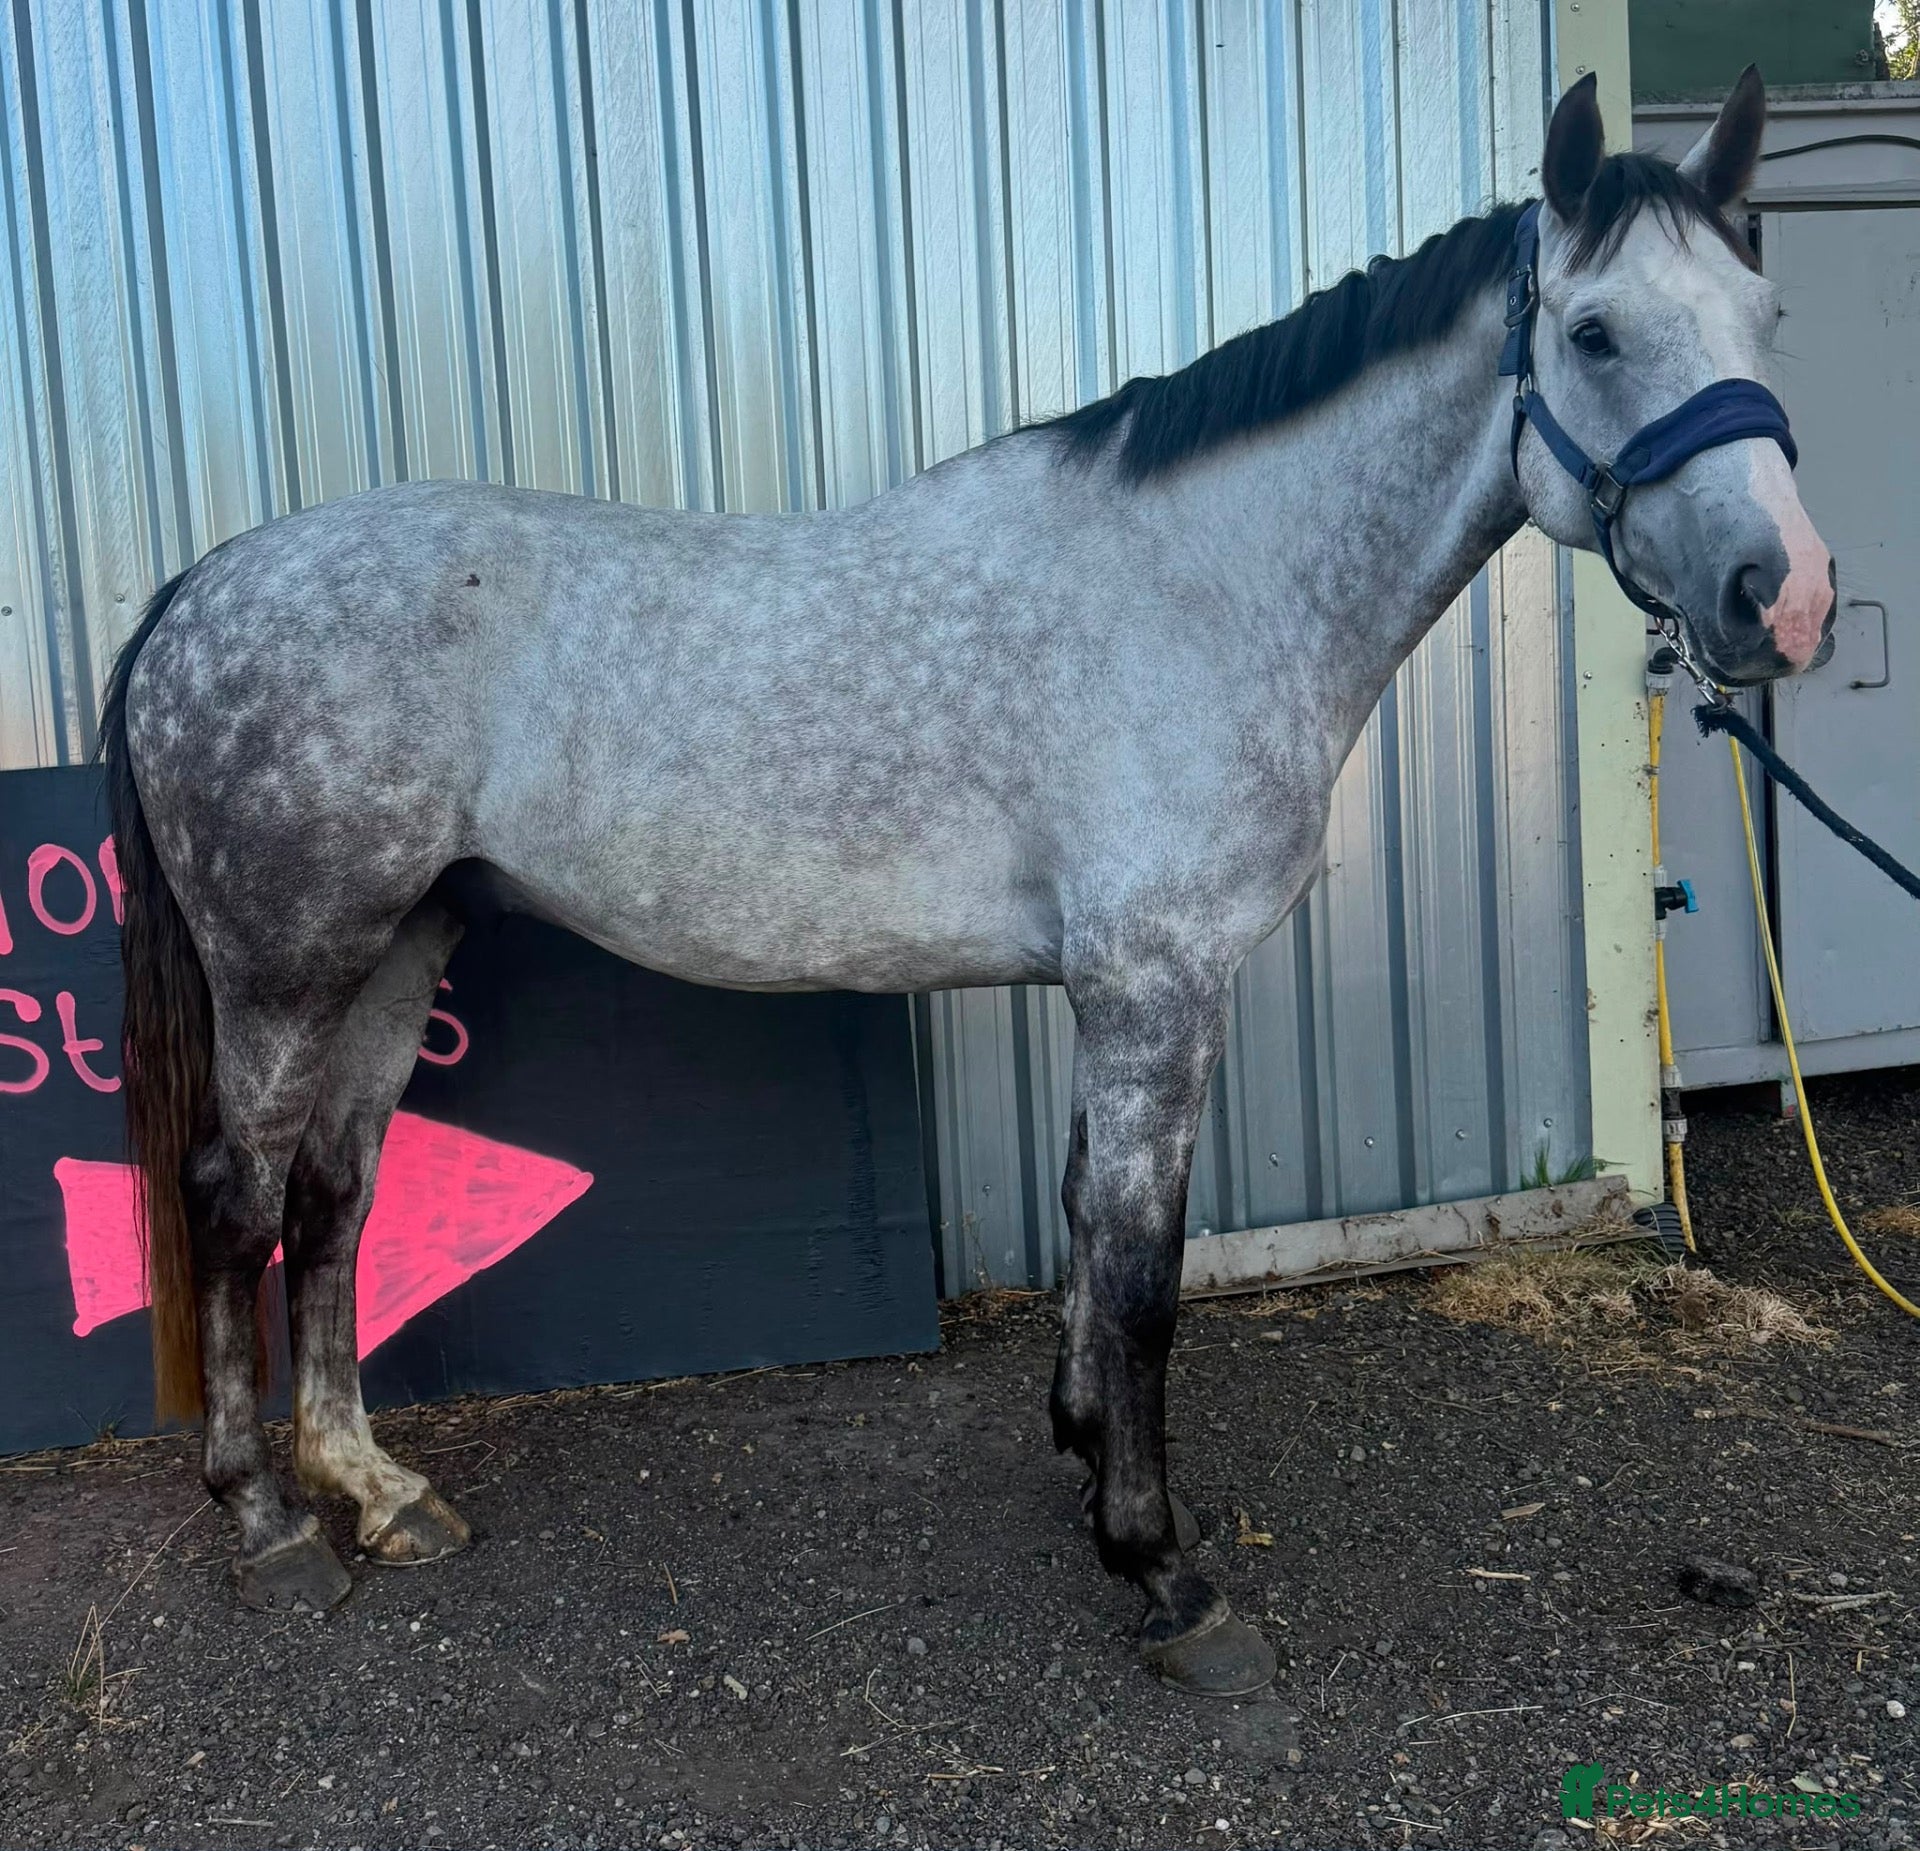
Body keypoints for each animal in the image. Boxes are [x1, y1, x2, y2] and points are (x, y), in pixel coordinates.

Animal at [98, 69, 1832, 1698]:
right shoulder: (1158, 986)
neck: (1199, 589)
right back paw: (265, 1522)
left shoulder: (1109, 988)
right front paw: (1162, 1566)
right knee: (235, 1193)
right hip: (288, 962)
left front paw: (1089, 1456)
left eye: (1766, 314)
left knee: (333, 1195)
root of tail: (201, 584)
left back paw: (376, 1490)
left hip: (400, 943)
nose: (1786, 595)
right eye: (1595, 332)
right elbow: (1142, 1266)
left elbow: (1082, 1218)